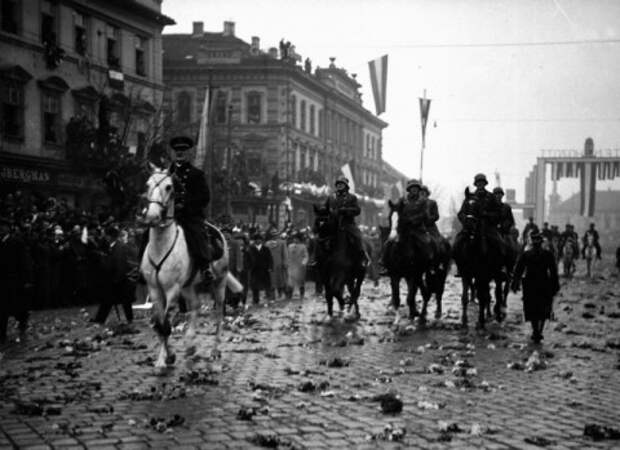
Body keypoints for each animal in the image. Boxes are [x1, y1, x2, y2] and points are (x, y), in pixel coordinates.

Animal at [142, 165, 242, 370]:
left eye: (169, 187)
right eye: (147, 184)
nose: (152, 217)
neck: (161, 245)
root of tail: (218, 231)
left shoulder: (172, 290)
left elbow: (166, 324)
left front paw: (169, 357)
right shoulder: (154, 289)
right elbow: (159, 323)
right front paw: (163, 358)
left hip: (219, 284)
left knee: (218, 315)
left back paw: (214, 351)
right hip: (189, 286)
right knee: (195, 307)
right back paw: (190, 344)